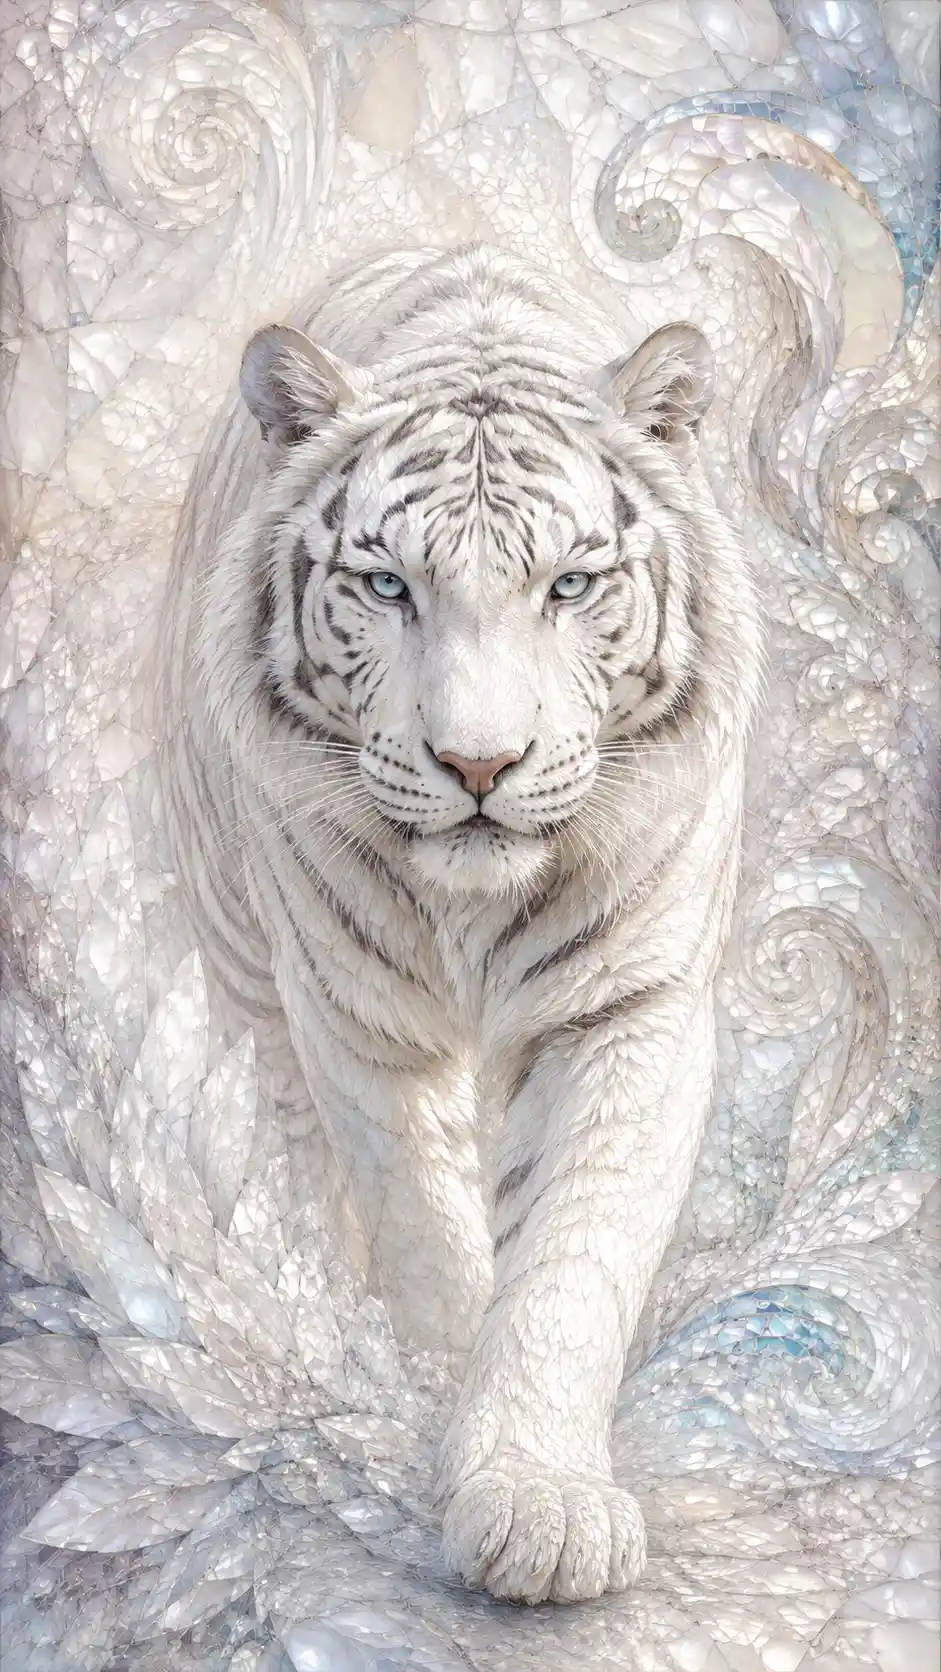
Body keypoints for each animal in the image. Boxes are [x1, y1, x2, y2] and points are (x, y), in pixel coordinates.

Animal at [159, 244, 763, 1605]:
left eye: (569, 585)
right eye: (388, 585)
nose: (478, 763)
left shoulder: (627, 1007)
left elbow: (568, 1259)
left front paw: (537, 1502)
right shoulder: (353, 1016)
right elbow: (427, 1242)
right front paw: (437, 1428)